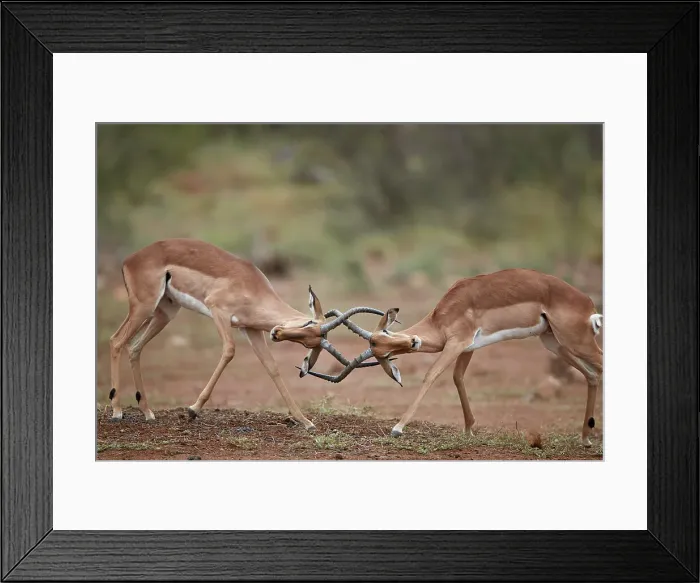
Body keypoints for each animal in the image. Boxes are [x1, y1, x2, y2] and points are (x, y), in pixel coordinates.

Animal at [106, 238, 384, 430]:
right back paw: (117, 411)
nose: (277, 333)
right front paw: (193, 410)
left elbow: (272, 368)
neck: (252, 287)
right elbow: (229, 351)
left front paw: (305, 421)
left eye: (309, 345)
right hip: (144, 307)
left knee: (134, 347)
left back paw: (147, 413)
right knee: (116, 341)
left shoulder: (252, 330)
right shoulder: (219, 311)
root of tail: (130, 259)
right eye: (307, 325)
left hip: (165, 312)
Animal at [302, 268, 604, 447]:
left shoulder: (457, 343)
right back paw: (586, 438)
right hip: (554, 342)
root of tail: (588, 303)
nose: (413, 341)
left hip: (576, 341)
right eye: (380, 350)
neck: (443, 315)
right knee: (592, 374)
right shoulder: (466, 347)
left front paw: (397, 428)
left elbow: (431, 376)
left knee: (599, 367)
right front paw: (469, 430)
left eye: (384, 333)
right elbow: (458, 378)